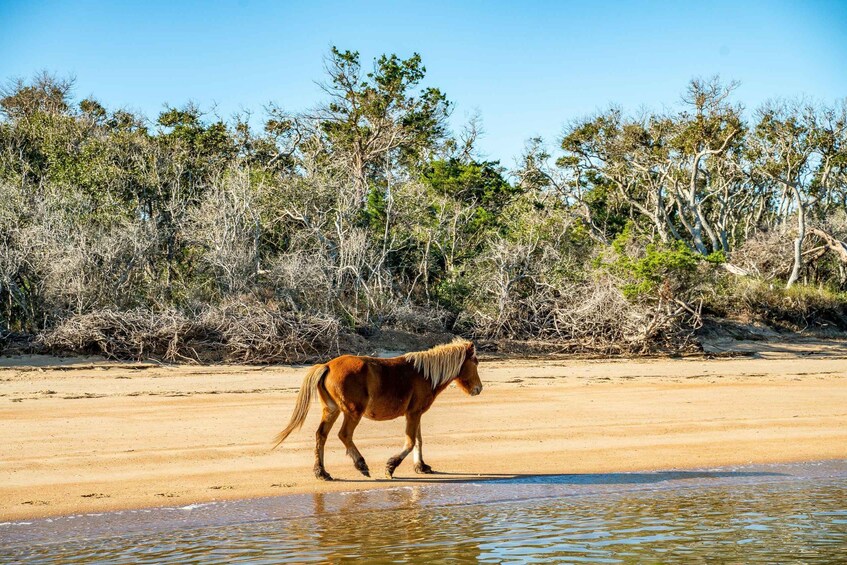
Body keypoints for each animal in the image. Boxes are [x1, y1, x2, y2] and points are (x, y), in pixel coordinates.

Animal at [272, 338, 483, 480]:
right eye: (476, 362)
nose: (479, 389)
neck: (425, 374)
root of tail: (327, 366)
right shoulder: (413, 414)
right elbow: (410, 442)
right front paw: (391, 466)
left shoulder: (416, 414)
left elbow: (418, 441)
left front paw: (421, 466)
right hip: (352, 412)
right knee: (344, 435)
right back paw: (361, 465)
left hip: (332, 410)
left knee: (321, 435)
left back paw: (321, 472)